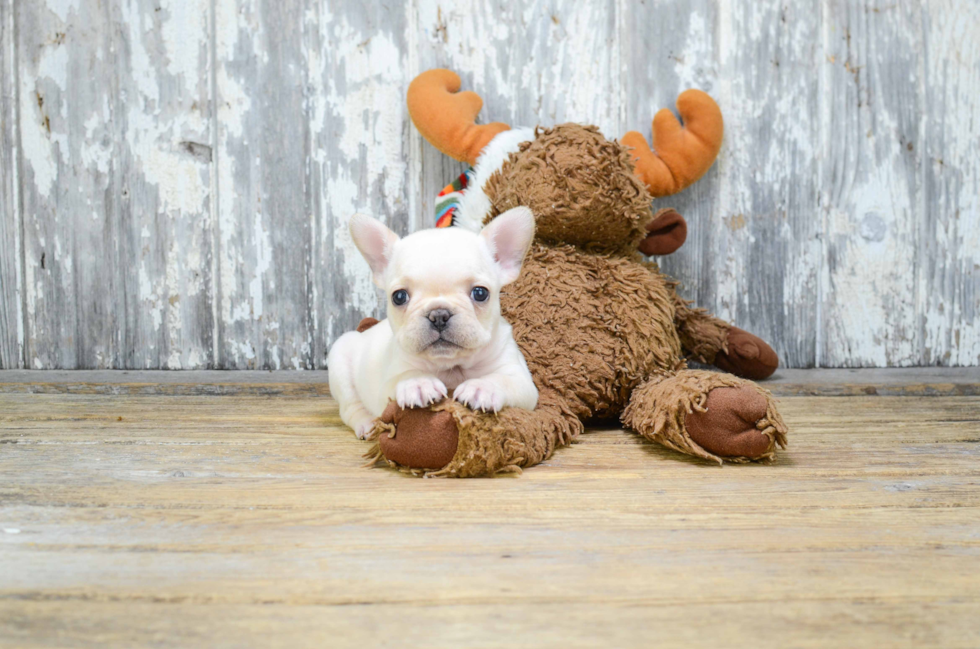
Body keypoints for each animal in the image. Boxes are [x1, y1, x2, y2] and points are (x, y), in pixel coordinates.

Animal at [328, 208, 540, 440]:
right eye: (399, 297)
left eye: (480, 293)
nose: (438, 315)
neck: (451, 366)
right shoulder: (386, 385)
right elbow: (404, 376)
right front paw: (419, 383)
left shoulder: (521, 379)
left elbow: (503, 379)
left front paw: (482, 387)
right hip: (340, 358)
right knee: (350, 407)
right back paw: (366, 423)